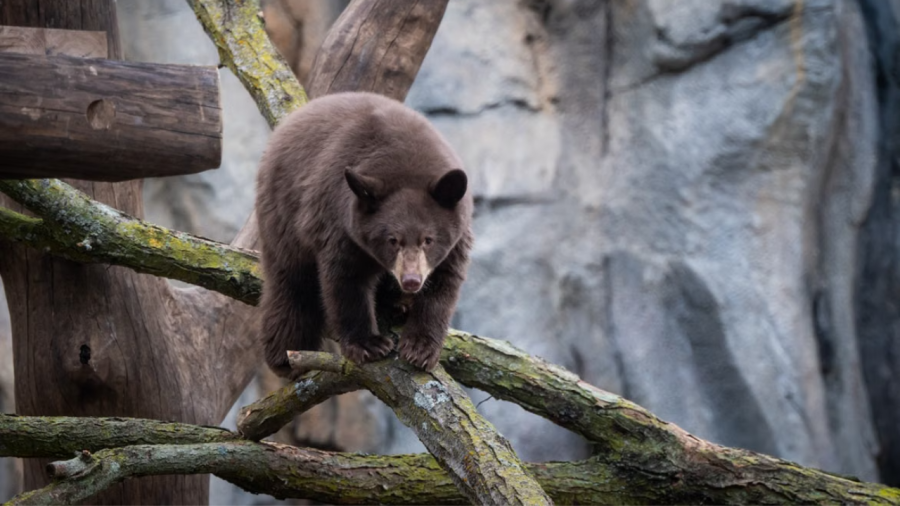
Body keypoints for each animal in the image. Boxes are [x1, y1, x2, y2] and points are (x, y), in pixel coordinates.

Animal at [255, 91, 473, 377]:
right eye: (392, 240)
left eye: (429, 239)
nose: (411, 281)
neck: (406, 166)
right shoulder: (340, 222)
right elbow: (346, 279)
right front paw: (368, 345)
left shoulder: (456, 240)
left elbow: (443, 285)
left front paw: (421, 348)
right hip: (282, 216)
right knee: (292, 283)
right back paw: (285, 354)